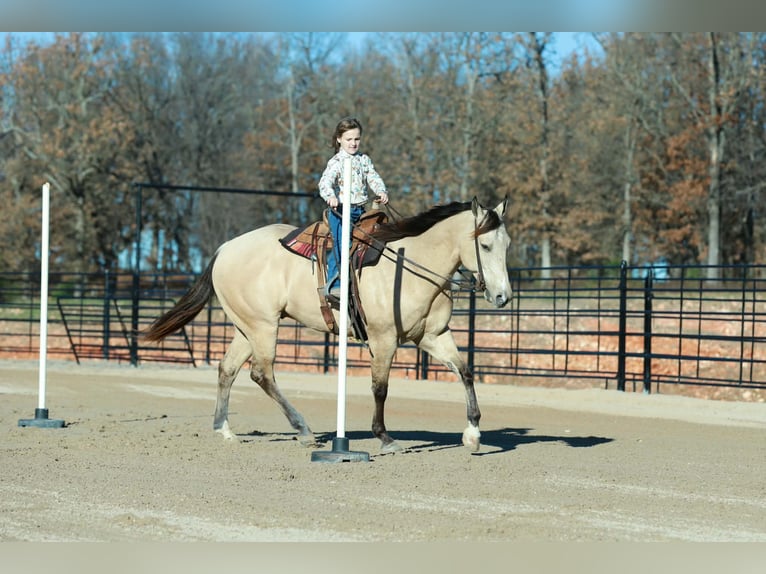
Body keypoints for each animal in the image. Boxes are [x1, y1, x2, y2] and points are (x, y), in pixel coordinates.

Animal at [143, 197, 512, 453]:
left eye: (506, 245)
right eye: (484, 244)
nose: (503, 296)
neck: (410, 265)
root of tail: (224, 249)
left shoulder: (432, 336)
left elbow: (465, 372)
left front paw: (473, 434)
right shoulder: (384, 338)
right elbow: (380, 388)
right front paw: (384, 437)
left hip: (245, 328)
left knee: (227, 370)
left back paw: (225, 429)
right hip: (263, 327)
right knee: (261, 374)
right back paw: (303, 430)